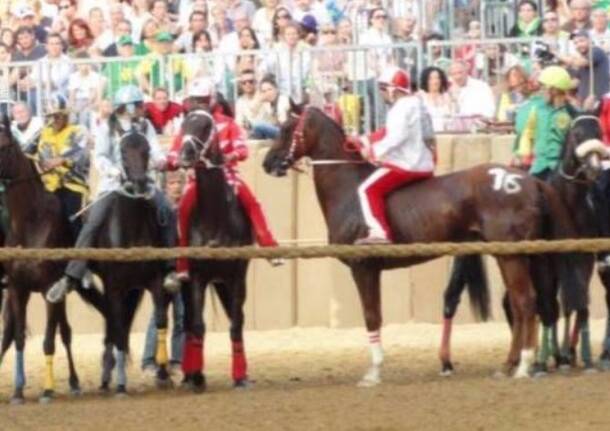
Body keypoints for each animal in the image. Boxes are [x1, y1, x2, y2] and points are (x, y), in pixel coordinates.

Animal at [0, 115, 104, 404]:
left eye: (4, 145)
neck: (30, 222)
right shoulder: (17, 288)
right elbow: (19, 338)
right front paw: (17, 392)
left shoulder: (48, 288)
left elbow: (48, 340)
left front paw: (47, 391)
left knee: (67, 332)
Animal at [90, 130, 172, 396]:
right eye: (123, 151)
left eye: (147, 150)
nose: (138, 184)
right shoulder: (114, 285)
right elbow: (116, 324)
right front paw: (120, 384)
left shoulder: (154, 281)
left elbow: (160, 320)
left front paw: (164, 373)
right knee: (114, 323)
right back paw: (108, 375)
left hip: (134, 288)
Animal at [178, 109, 252, 392]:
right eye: (183, 126)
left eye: (205, 127)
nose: (184, 155)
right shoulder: (197, 276)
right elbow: (198, 325)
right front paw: (197, 376)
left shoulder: (237, 275)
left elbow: (237, 323)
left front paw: (240, 376)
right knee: (189, 322)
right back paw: (189, 374)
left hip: (224, 282)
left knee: (235, 315)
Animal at [262, 106, 584, 386]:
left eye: (287, 128)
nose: (268, 162)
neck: (349, 190)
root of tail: (529, 181)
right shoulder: (372, 270)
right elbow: (375, 315)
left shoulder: (363, 268)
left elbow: (371, 316)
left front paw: (373, 373)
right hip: (525, 256)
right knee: (526, 304)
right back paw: (510, 364)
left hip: (512, 256)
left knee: (525, 302)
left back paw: (523, 366)